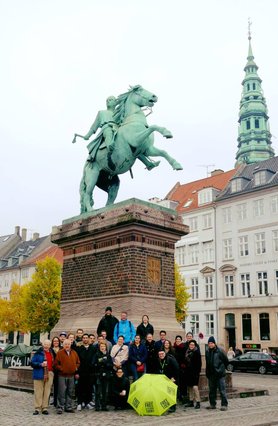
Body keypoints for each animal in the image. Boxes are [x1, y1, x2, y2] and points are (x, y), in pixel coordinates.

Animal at [78, 85, 182, 213]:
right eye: (139, 90)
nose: (154, 96)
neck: (134, 121)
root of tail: (85, 167)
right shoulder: (136, 139)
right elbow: (153, 127)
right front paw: (166, 132)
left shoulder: (147, 149)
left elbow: (163, 152)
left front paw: (176, 165)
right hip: (92, 177)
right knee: (87, 195)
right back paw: (91, 210)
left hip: (112, 184)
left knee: (109, 201)